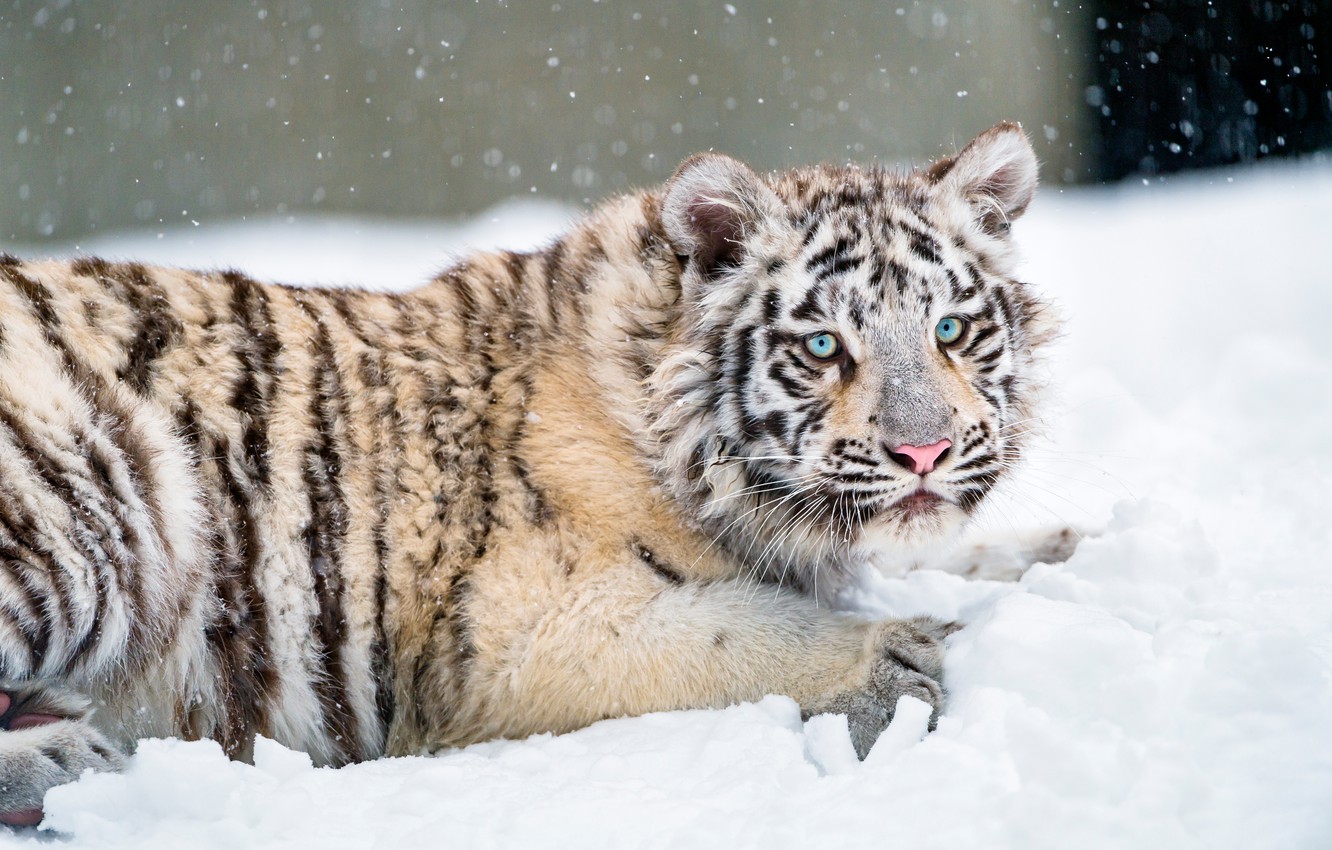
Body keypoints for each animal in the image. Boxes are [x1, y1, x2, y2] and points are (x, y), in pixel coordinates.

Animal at [0, 122, 1050, 827]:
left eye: (950, 329)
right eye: (826, 346)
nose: (925, 451)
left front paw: (1058, 549)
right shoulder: (515, 633)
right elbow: (742, 632)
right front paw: (895, 663)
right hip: (98, 494)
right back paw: (65, 758)